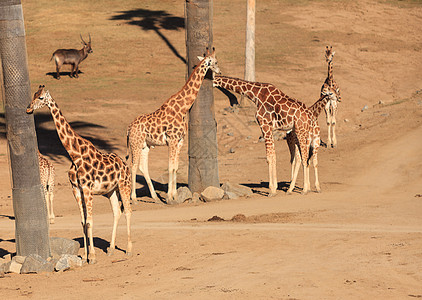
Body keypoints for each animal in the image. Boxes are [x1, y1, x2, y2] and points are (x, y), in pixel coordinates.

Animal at [27, 85, 132, 264]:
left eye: (40, 98)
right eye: (33, 95)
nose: (28, 108)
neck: (74, 155)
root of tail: (126, 167)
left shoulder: (87, 189)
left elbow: (89, 221)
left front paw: (93, 257)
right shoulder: (76, 189)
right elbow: (82, 221)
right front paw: (84, 255)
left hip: (124, 186)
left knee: (129, 211)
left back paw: (129, 249)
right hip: (111, 191)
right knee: (117, 212)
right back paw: (111, 249)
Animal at [127, 48, 221, 203]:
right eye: (216, 61)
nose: (219, 70)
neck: (183, 108)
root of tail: (129, 128)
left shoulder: (180, 140)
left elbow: (175, 167)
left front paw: (175, 196)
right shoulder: (171, 140)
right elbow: (170, 167)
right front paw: (169, 197)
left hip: (145, 145)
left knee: (142, 166)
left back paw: (154, 197)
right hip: (136, 143)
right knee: (133, 166)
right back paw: (133, 198)